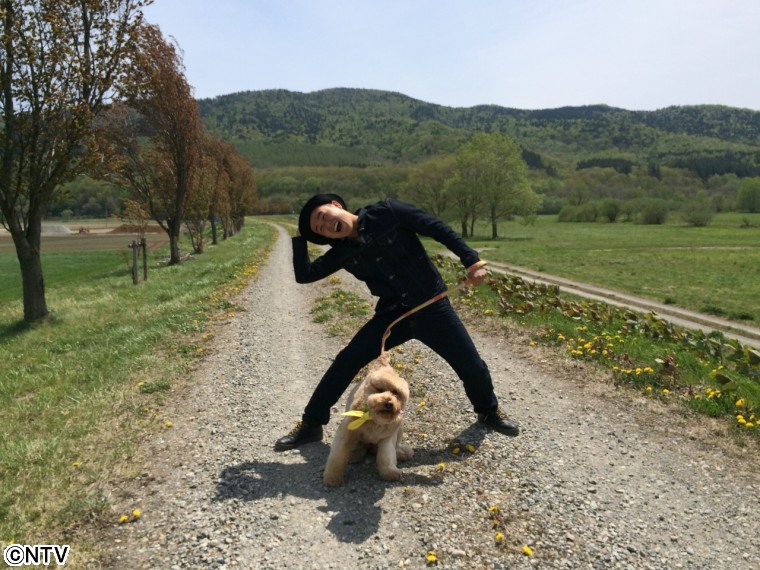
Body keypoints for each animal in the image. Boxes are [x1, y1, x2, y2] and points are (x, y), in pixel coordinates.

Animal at [323, 352, 413, 487]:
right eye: (380, 389)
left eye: (396, 393)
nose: (389, 403)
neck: (375, 419)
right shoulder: (346, 433)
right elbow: (337, 456)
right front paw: (332, 477)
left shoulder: (387, 438)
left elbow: (386, 456)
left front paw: (390, 472)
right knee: (359, 449)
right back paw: (355, 454)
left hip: (399, 427)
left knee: (393, 447)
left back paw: (401, 452)